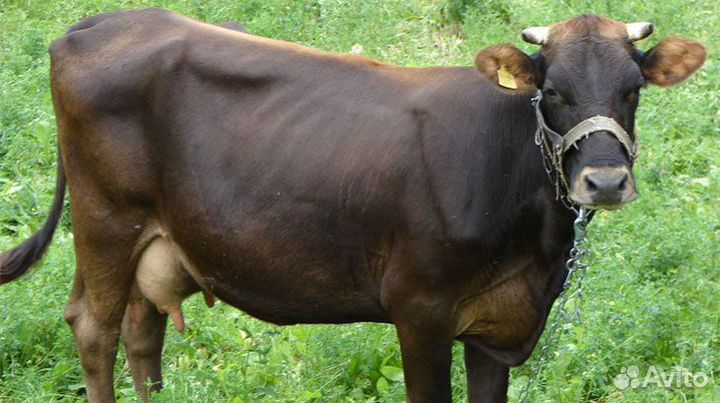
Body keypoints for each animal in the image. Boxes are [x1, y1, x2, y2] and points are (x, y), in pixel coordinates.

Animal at [0, 9, 705, 403]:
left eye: (633, 88)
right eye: (552, 91)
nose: (606, 182)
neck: (534, 252)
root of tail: (100, 23)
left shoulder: (498, 323)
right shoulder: (419, 311)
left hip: (159, 238)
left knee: (142, 329)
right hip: (105, 220)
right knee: (95, 327)